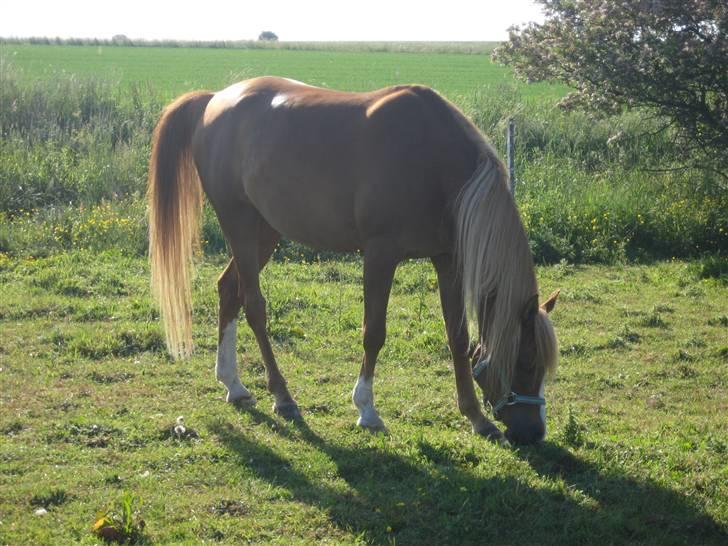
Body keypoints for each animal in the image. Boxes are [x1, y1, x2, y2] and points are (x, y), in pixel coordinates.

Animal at [145, 75, 560, 442]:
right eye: (526, 361)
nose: (534, 433)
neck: (433, 161)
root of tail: (214, 100)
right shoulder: (380, 255)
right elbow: (374, 332)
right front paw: (367, 410)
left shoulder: (448, 260)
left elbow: (457, 337)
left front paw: (476, 418)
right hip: (240, 224)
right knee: (254, 306)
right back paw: (282, 396)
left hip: (265, 230)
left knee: (228, 289)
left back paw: (233, 384)